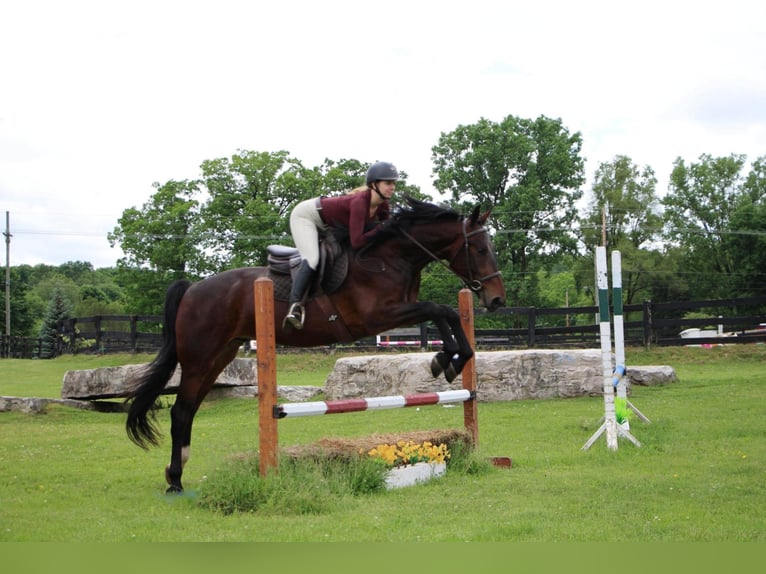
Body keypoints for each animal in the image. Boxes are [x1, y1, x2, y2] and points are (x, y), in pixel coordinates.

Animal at [126, 196, 508, 492]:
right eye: (479, 248)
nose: (497, 300)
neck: (390, 257)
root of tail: (192, 288)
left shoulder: (396, 313)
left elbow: (446, 313)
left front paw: (450, 360)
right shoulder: (376, 317)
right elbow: (439, 309)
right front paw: (446, 360)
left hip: (221, 354)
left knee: (189, 409)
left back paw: (175, 472)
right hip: (200, 356)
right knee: (180, 411)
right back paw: (175, 481)